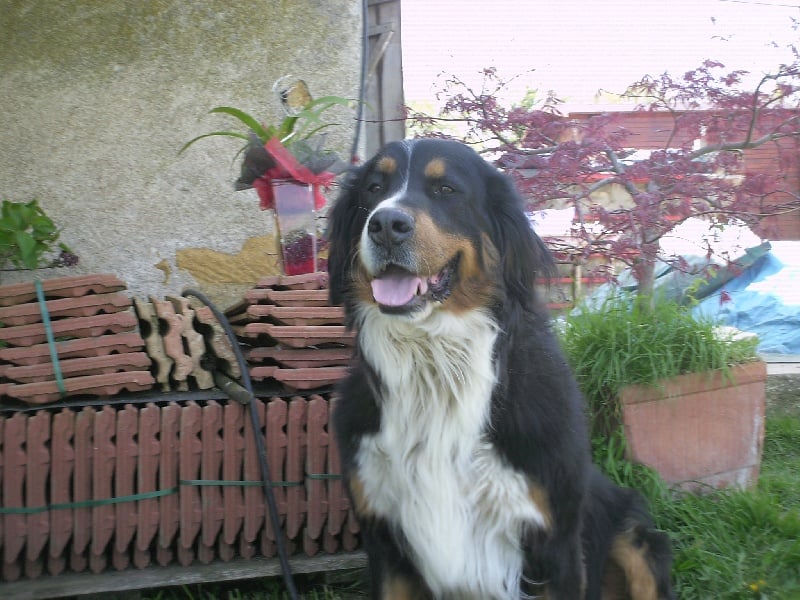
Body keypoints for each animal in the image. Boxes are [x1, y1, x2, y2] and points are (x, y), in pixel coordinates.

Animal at [324, 138, 676, 596]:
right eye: (373, 188)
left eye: (446, 189)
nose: (385, 224)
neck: (434, 367)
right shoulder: (385, 543)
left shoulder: (555, 543)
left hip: (635, 535)